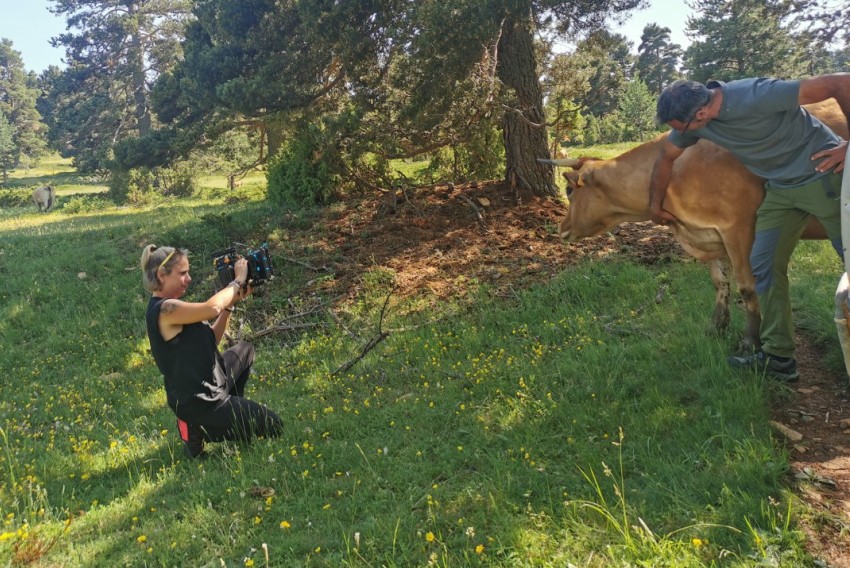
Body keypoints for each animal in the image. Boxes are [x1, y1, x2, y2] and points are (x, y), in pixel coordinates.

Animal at [540, 101, 844, 350]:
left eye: (568, 189)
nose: (561, 229)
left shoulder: (739, 230)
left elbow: (747, 287)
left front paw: (750, 341)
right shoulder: (708, 236)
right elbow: (720, 283)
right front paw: (717, 327)